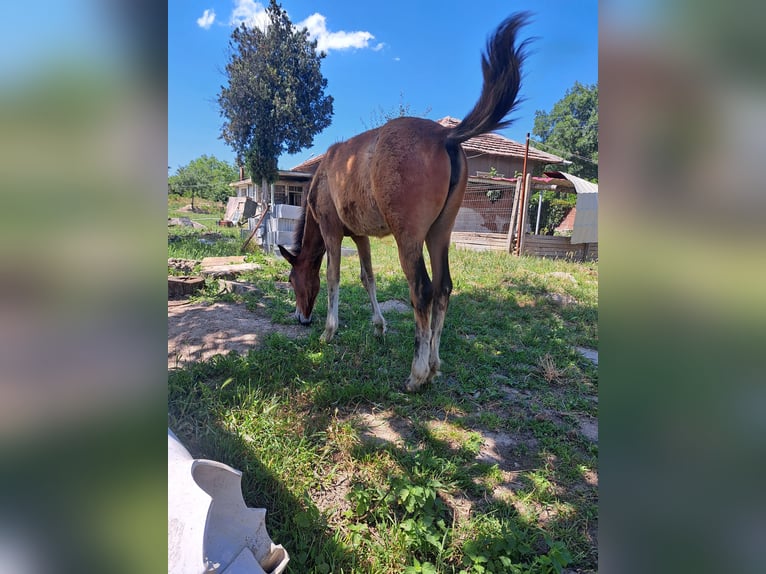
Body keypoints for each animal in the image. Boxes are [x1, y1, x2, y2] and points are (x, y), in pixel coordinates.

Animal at [280, 13, 532, 394]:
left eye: (293, 281)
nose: (301, 318)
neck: (321, 178)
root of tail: (446, 135)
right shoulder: (361, 236)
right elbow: (368, 277)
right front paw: (378, 326)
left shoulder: (332, 231)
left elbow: (334, 276)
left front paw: (329, 330)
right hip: (439, 234)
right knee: (443, 288)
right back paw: (435, 364)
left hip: (409, 237)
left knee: (422, 290)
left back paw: (418, 372)